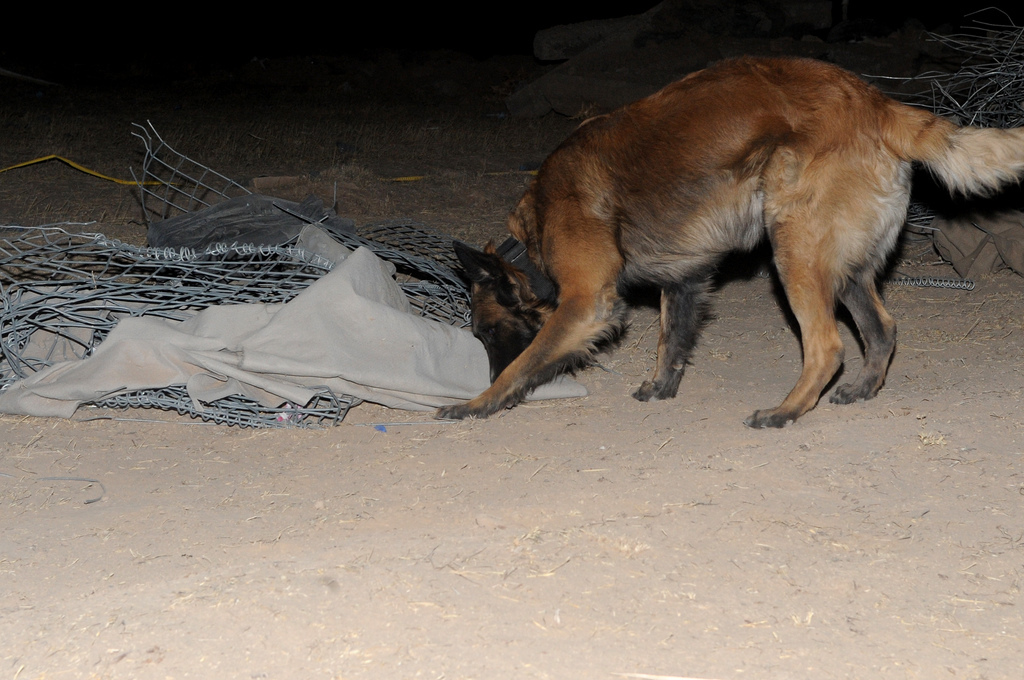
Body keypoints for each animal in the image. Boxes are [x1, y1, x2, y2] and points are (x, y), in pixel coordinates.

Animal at [436, 57, 1024, 426]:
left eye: (488, 332)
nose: (485, 373)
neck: (535, 231)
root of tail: (876, 102)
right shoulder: (684, 279)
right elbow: (670, 341)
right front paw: (660, 387)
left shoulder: (585, 301)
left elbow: (529, 361)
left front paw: (479, 402)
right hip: (846, 266)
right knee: (881, 330)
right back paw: (859, 391)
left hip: (795, 250)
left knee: (828, 345)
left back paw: (785, 412)